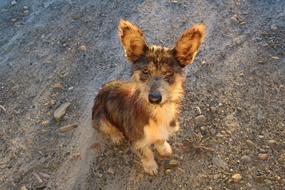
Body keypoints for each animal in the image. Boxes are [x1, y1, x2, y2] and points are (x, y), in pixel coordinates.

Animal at [91, 19, 204, 175]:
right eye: (145, 71)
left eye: (169, 73)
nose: (154, 98)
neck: (157, 112)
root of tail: (102, 89)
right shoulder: (137, 140)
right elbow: (146, 153)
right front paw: (150, 167)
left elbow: (160, 140)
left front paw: (164, 149)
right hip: (100, 118)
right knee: (108, 128)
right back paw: (117, 136)